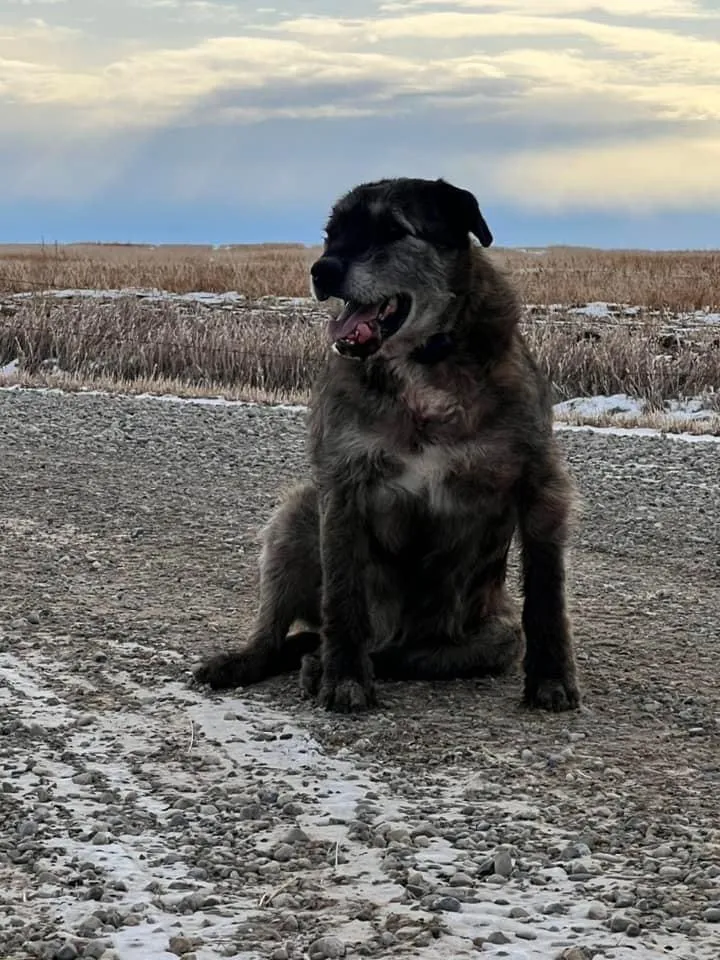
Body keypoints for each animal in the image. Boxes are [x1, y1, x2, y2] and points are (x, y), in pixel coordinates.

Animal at [197, 176, 580, 712]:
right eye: (332, 233)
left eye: (394, 229)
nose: (323, 270)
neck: (422, 368)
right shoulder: (341, 486)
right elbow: (342, 596)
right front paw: (344, 677)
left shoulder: (539, 484)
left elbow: (546, 594)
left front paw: (550, 678)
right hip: (298, 513)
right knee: (284, 630)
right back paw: (264, 659)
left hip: (492, 635)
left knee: (406, 655)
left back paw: (324, 661)